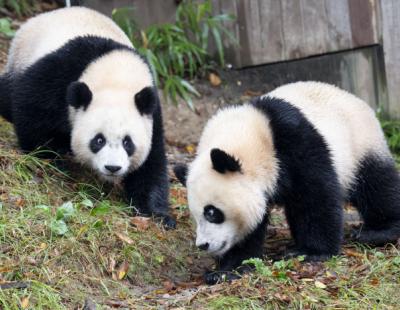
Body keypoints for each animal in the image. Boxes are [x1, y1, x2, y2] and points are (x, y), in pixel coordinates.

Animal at [0, 7, 175, 228]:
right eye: (98, 140)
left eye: (128, 143)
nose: (112, 167)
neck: (118, 77)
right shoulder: (63, 73)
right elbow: (30, 106)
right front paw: (47, 156)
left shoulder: (151, 112)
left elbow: (152, 163)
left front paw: (157, 214)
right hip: (22, 58)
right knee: (9, 93)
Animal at [174, 81, 400, 284]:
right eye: (196, 215)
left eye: (212, 213)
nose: (203, 245)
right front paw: (227, 270)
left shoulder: (295, 144)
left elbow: (316, 197)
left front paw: (312, 252)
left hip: (360, 144)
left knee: (376, 185)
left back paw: (377, 232)